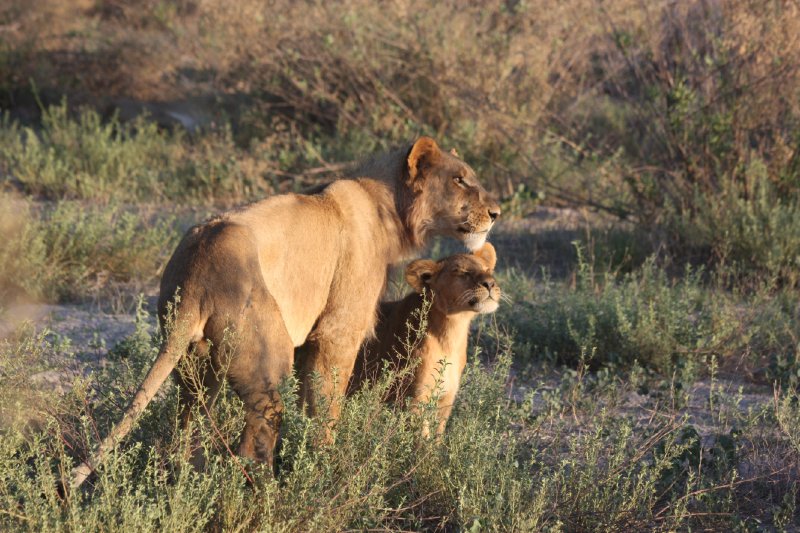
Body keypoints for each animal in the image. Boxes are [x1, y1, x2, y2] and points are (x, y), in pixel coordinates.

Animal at [350, 241, 500, 436]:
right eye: (461, 272)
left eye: (488, 270)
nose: (490, 283)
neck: (451, 333)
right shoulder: (415, 397)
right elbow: (421, 437)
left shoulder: (446, 398)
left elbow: (437, 435)